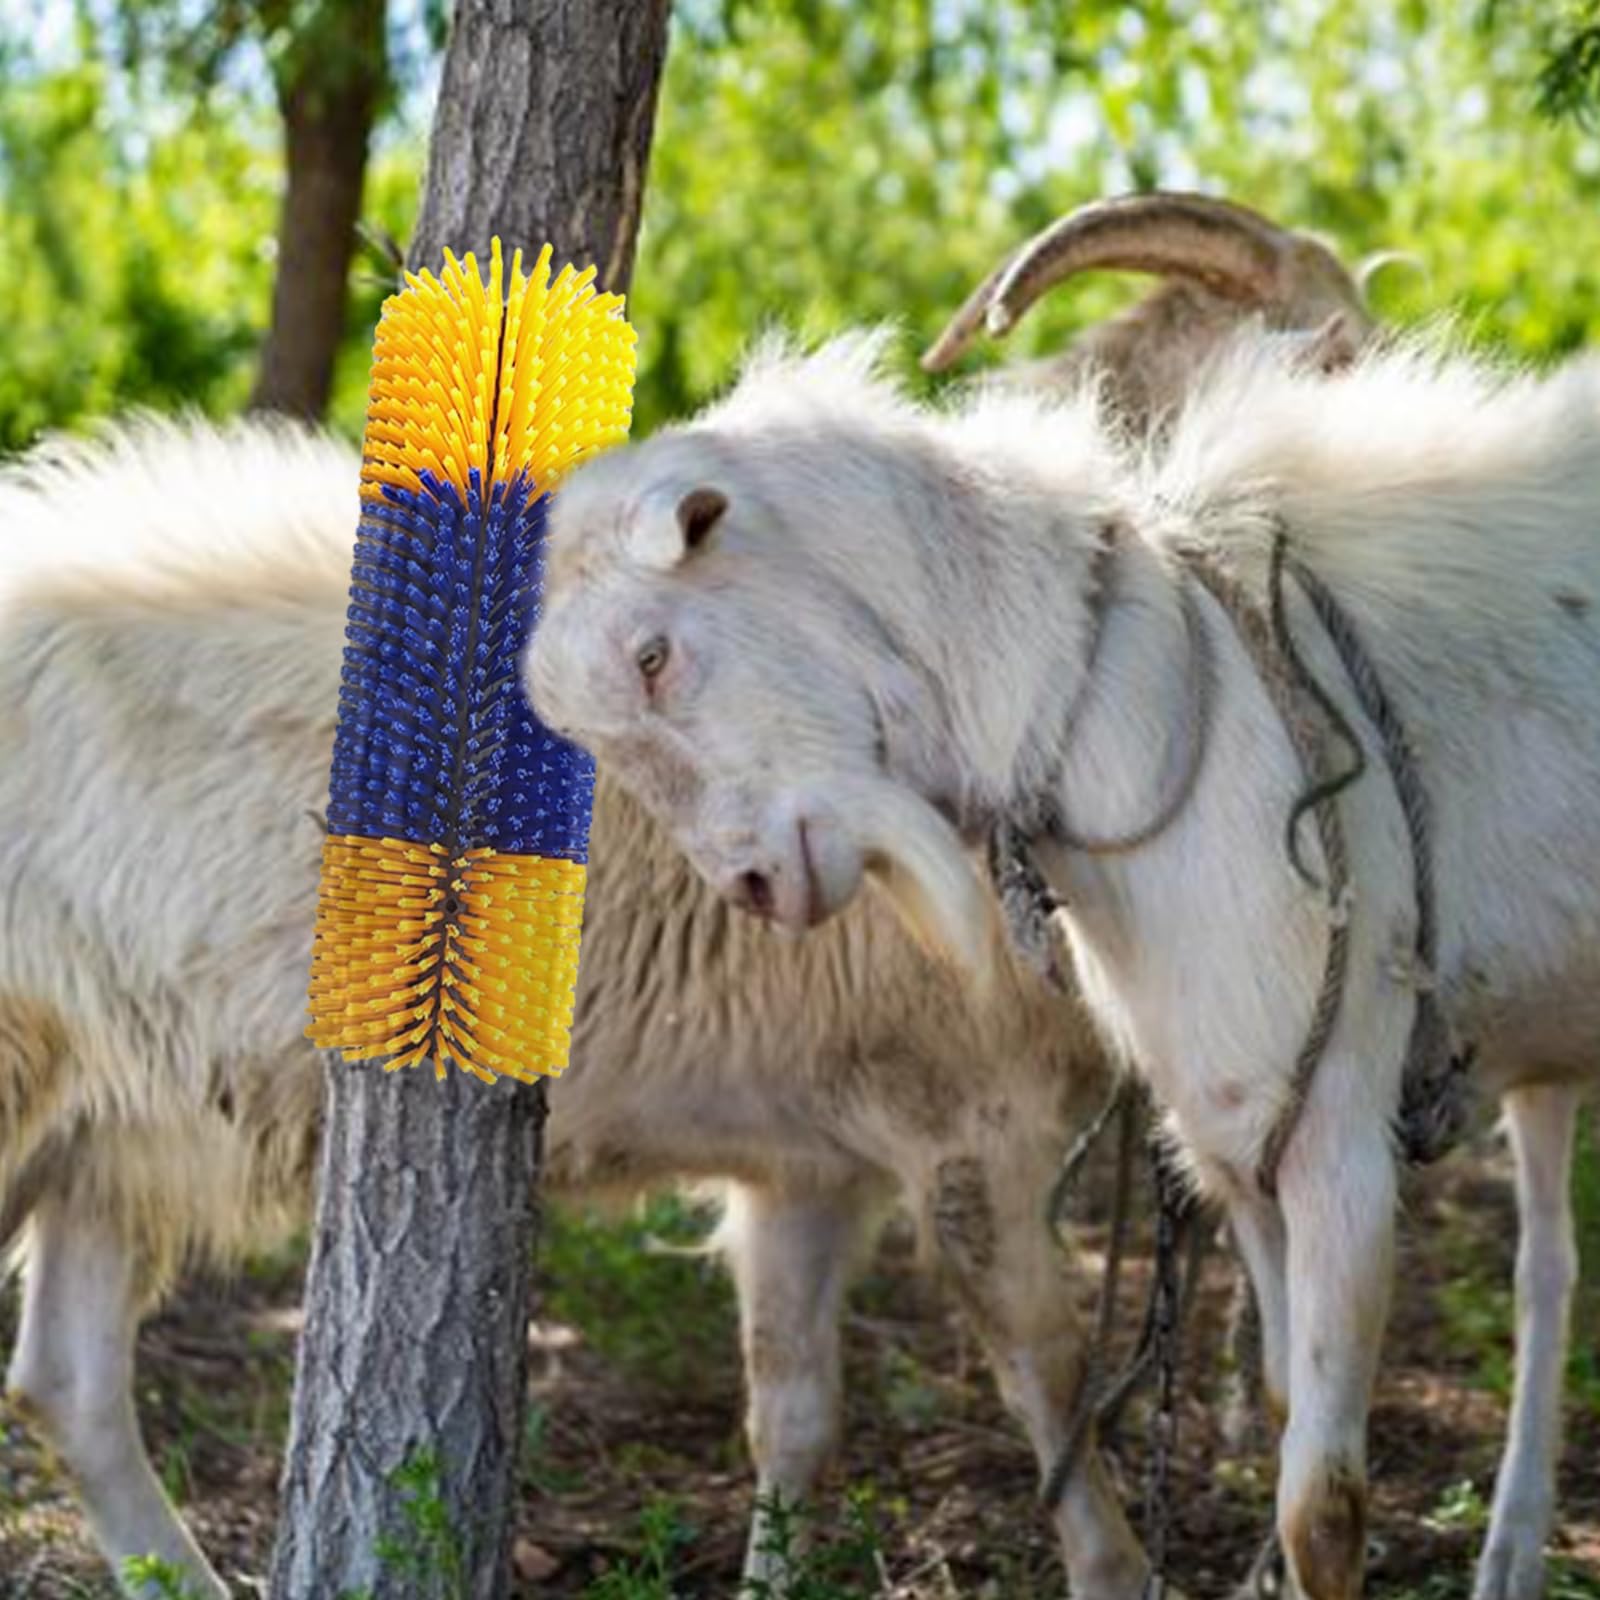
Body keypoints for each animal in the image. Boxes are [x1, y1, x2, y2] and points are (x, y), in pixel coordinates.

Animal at [0, 192, 1372, 1599]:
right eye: (1339, 361)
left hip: (112, 1126)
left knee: (65, 1383)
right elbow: (1046, 1371)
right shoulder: (966, 1124)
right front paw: (1114, 1565)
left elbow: (794, 1408)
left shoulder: (809, 1156)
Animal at [526, 326, 1599, 1600]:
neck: (1168, 707)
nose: (751, 887)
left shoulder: (1335, 1138)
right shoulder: (1241, 1138)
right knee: (1546, 1267)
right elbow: (1279, 1401)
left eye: (652, 654)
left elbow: (1320, 1509)